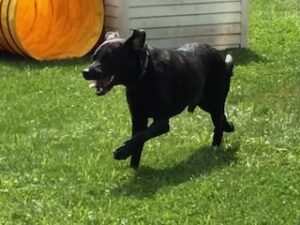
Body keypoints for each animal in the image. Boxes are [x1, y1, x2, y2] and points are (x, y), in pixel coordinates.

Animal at [82, 29, 234, 169]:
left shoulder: (162, 121)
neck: (141, 78)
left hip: (214, 102)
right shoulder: (138, 118)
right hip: (205, 103)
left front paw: (122, 152)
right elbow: (138, 140)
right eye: (94, 57)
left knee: (218, 124)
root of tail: (219, 57)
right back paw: (228, 126)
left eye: (108, 57)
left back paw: (215, 147)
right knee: (221, 117)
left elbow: (140, 136)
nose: (85, 72)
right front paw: (133, 169)